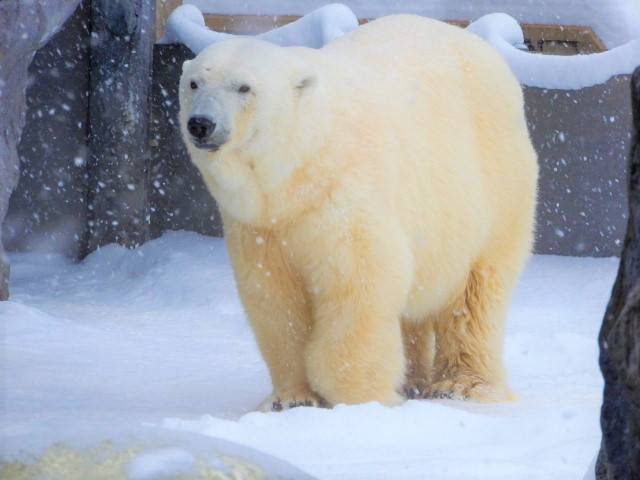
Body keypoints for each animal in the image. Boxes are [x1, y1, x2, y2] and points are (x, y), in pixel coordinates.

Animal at [180, 16, 540, 410]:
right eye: (194, 82)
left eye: (244, 87)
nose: (201, 123)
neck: (299, 175)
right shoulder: (260, 227)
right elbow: (276, 300)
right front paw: (292, 399)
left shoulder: (343, 198)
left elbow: (358, 286)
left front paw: (360, 398)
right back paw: (413, 380)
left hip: (492, 189)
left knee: (475, 292)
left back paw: (462, 385)